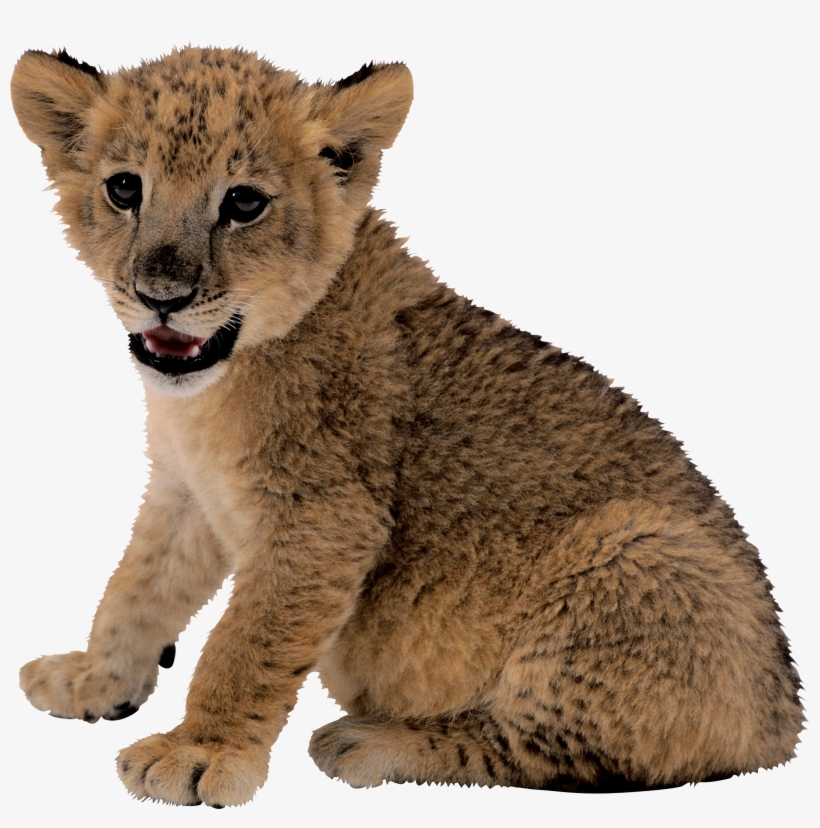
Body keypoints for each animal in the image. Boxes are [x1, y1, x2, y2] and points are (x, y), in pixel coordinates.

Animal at [10, 47, 803, 808]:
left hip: (640, 551)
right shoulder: (185, 491)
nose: (160, 296)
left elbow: (245, 643)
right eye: (124, 189)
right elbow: (136, 589)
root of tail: (782, 719)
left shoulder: (326, 518)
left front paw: (201, 753)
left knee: (550, 751)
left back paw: (374, 740)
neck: (211, 392)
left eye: (243, 202)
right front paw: (95, 678)